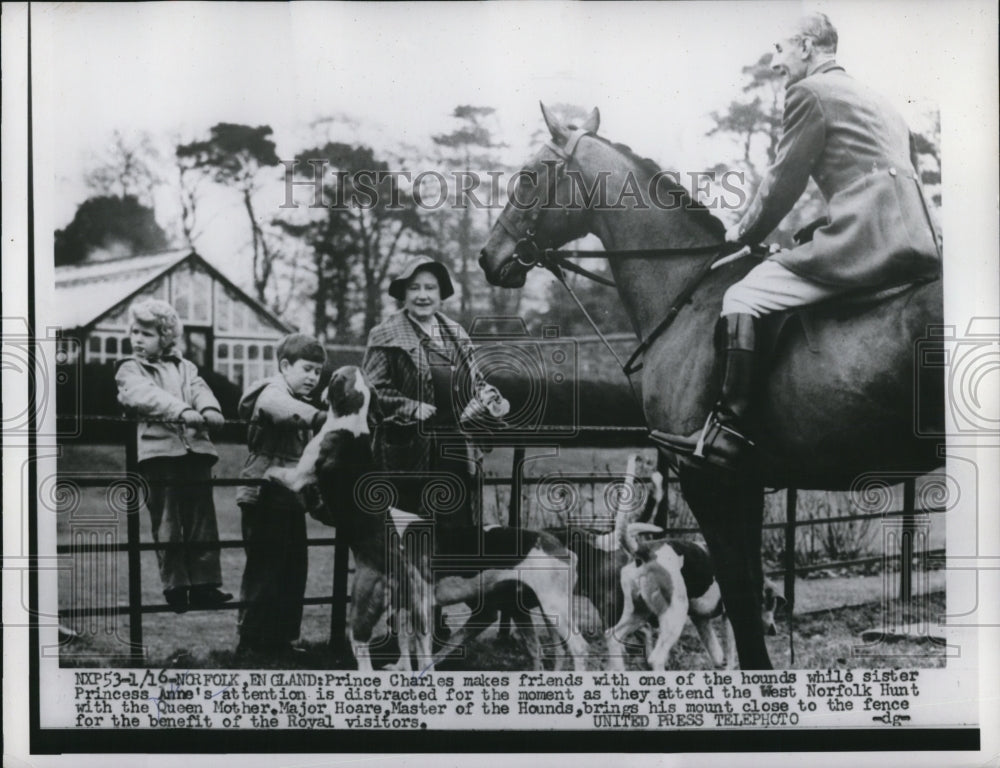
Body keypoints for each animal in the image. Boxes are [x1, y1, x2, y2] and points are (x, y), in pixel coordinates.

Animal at [478, 102, 944, 664]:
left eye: (529, 176)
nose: (488, 257)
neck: (687, 292)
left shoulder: (708, 478)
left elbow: (741, 600)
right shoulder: (747, 482)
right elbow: (749, 592)